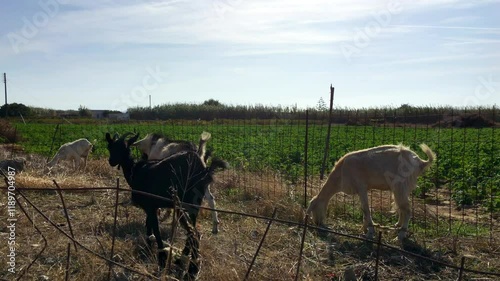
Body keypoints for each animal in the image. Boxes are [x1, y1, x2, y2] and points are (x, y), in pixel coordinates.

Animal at [107, 132, 230, 278]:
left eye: (123, 148)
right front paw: (148, 247)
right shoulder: (152, 208)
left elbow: (156, 230)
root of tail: (204, 169)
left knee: (194, 232)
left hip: (187, 201)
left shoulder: (150, 206)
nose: (111, 161)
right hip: (193, 204)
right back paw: (186, 260)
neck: (135, 171)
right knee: (193, 231)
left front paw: (160, 259)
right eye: (110, 147)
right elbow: (149, 227)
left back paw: (191, 268)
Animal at [304, 143, 434, 240]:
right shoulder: (361, 189)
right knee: (401, 207)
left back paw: (401, 235)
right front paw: (365, 228)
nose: (317, 223)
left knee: (406, 210)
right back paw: (397, 225)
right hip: (402, 188)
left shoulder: (361, 187)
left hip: (400, 185)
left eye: (314, 209)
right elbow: (364, 209)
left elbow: (366, 209)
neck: (340, 174)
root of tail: (420, 162)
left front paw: (370, 232)